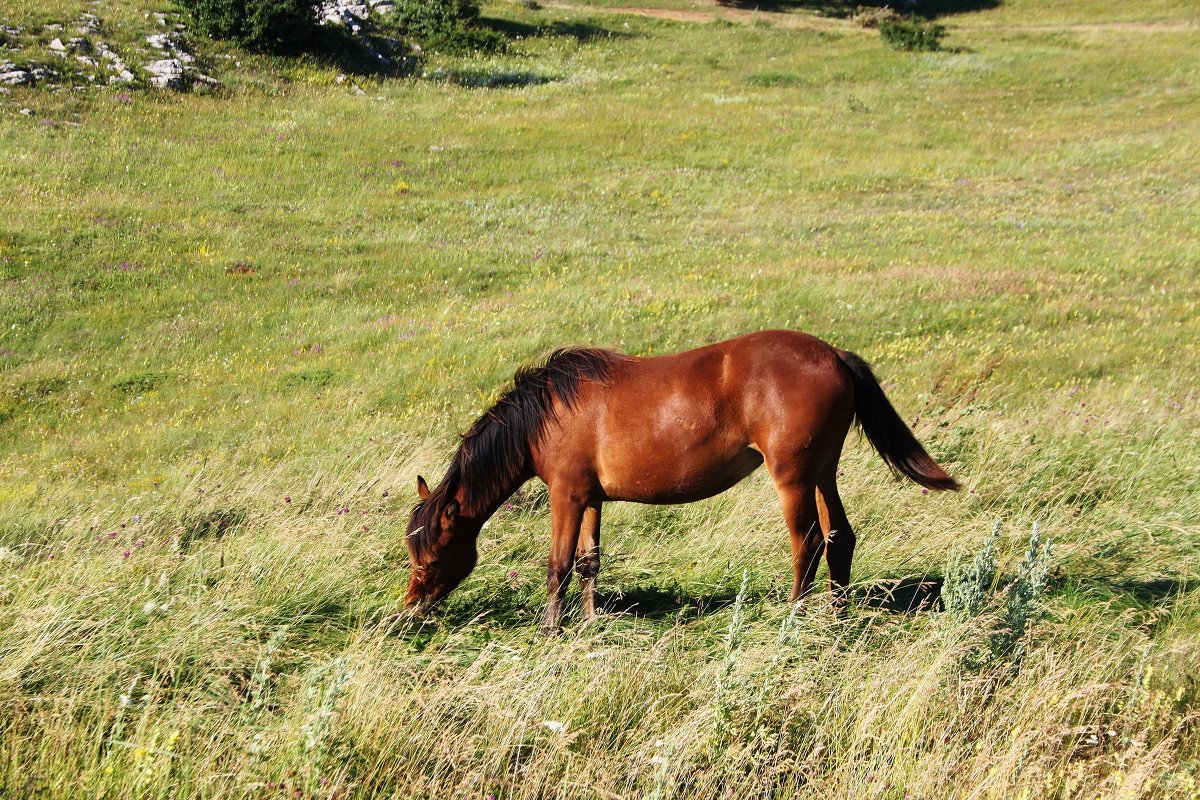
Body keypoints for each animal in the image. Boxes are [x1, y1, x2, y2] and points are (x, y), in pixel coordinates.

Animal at [408, 331, 960, 633]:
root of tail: (834, 355)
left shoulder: (566, 494)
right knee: (839, 538)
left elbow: (558, 566)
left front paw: (551, 629)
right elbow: (588, 562)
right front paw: (589, 622)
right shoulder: (590, 497)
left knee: (806, 542)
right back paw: (836, 615)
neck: (545, 415)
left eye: (432, 559)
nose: (411, 610)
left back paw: (794, 615)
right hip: (823, 472)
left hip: (794, 478)